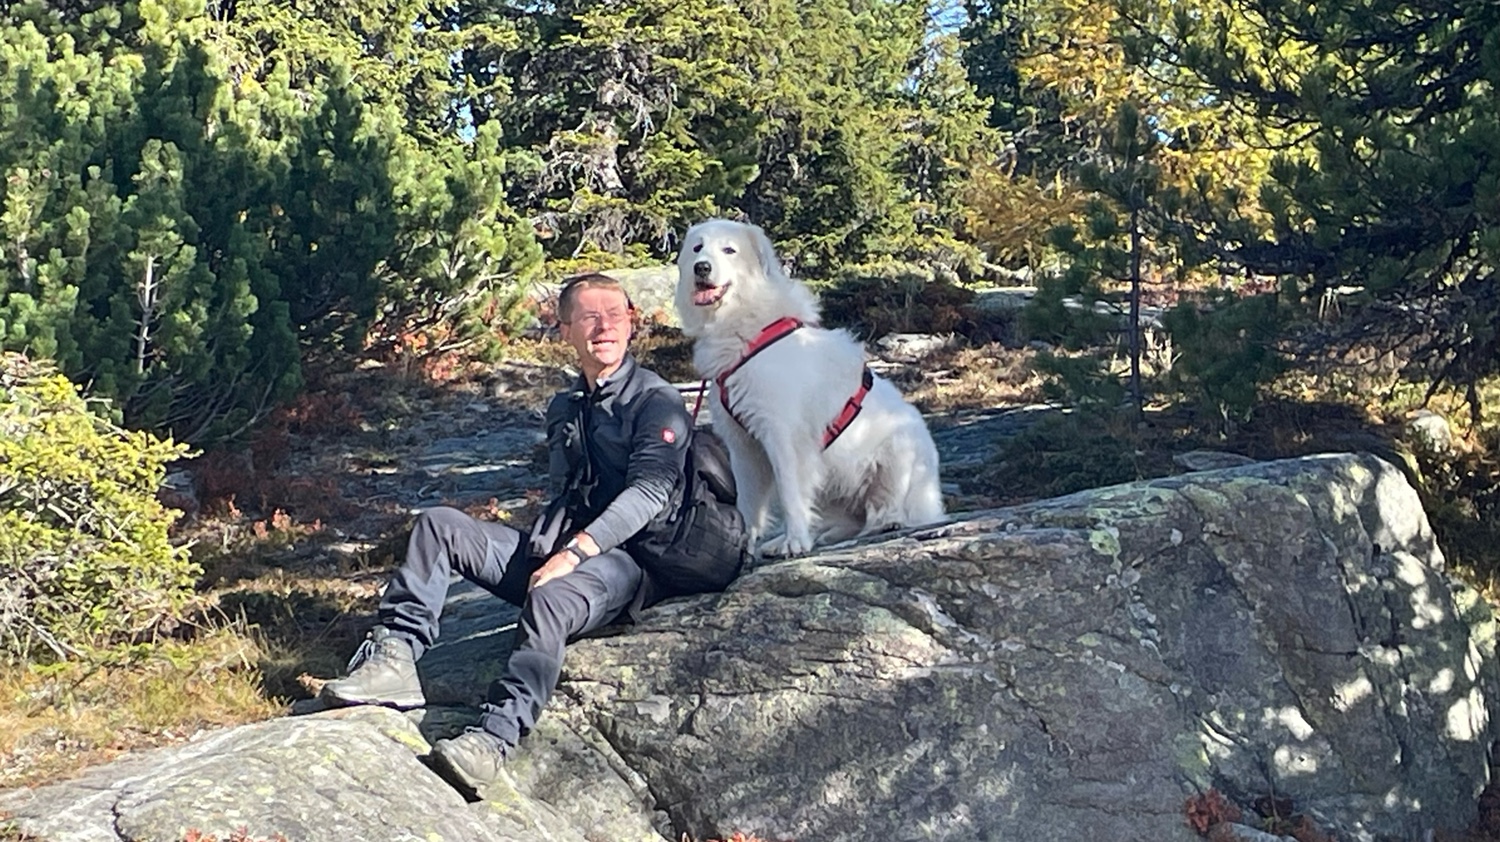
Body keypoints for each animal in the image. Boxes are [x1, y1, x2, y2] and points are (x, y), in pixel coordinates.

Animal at [674, 218, 945, 557]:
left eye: (729, 250)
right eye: (697, 248)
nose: (701, 267)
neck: (745, 325)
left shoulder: (782, 435)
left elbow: (790, 493)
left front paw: (794, 542)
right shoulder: (743, 445)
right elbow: (748, 504)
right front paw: (744, 546)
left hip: (899, 452)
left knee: (888, 511)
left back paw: (886, 524)